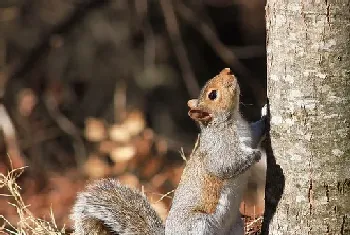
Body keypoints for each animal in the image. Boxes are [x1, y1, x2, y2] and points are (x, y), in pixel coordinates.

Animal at [69, 68, 264, 235]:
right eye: (213, 95)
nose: (228, 71)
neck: (231, 121)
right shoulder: (217, 149)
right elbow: (225, 166)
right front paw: (255, 155)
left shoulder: (249, 133)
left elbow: (256, 132)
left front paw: (265, 114)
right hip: (197, 224)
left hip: (235, 226)